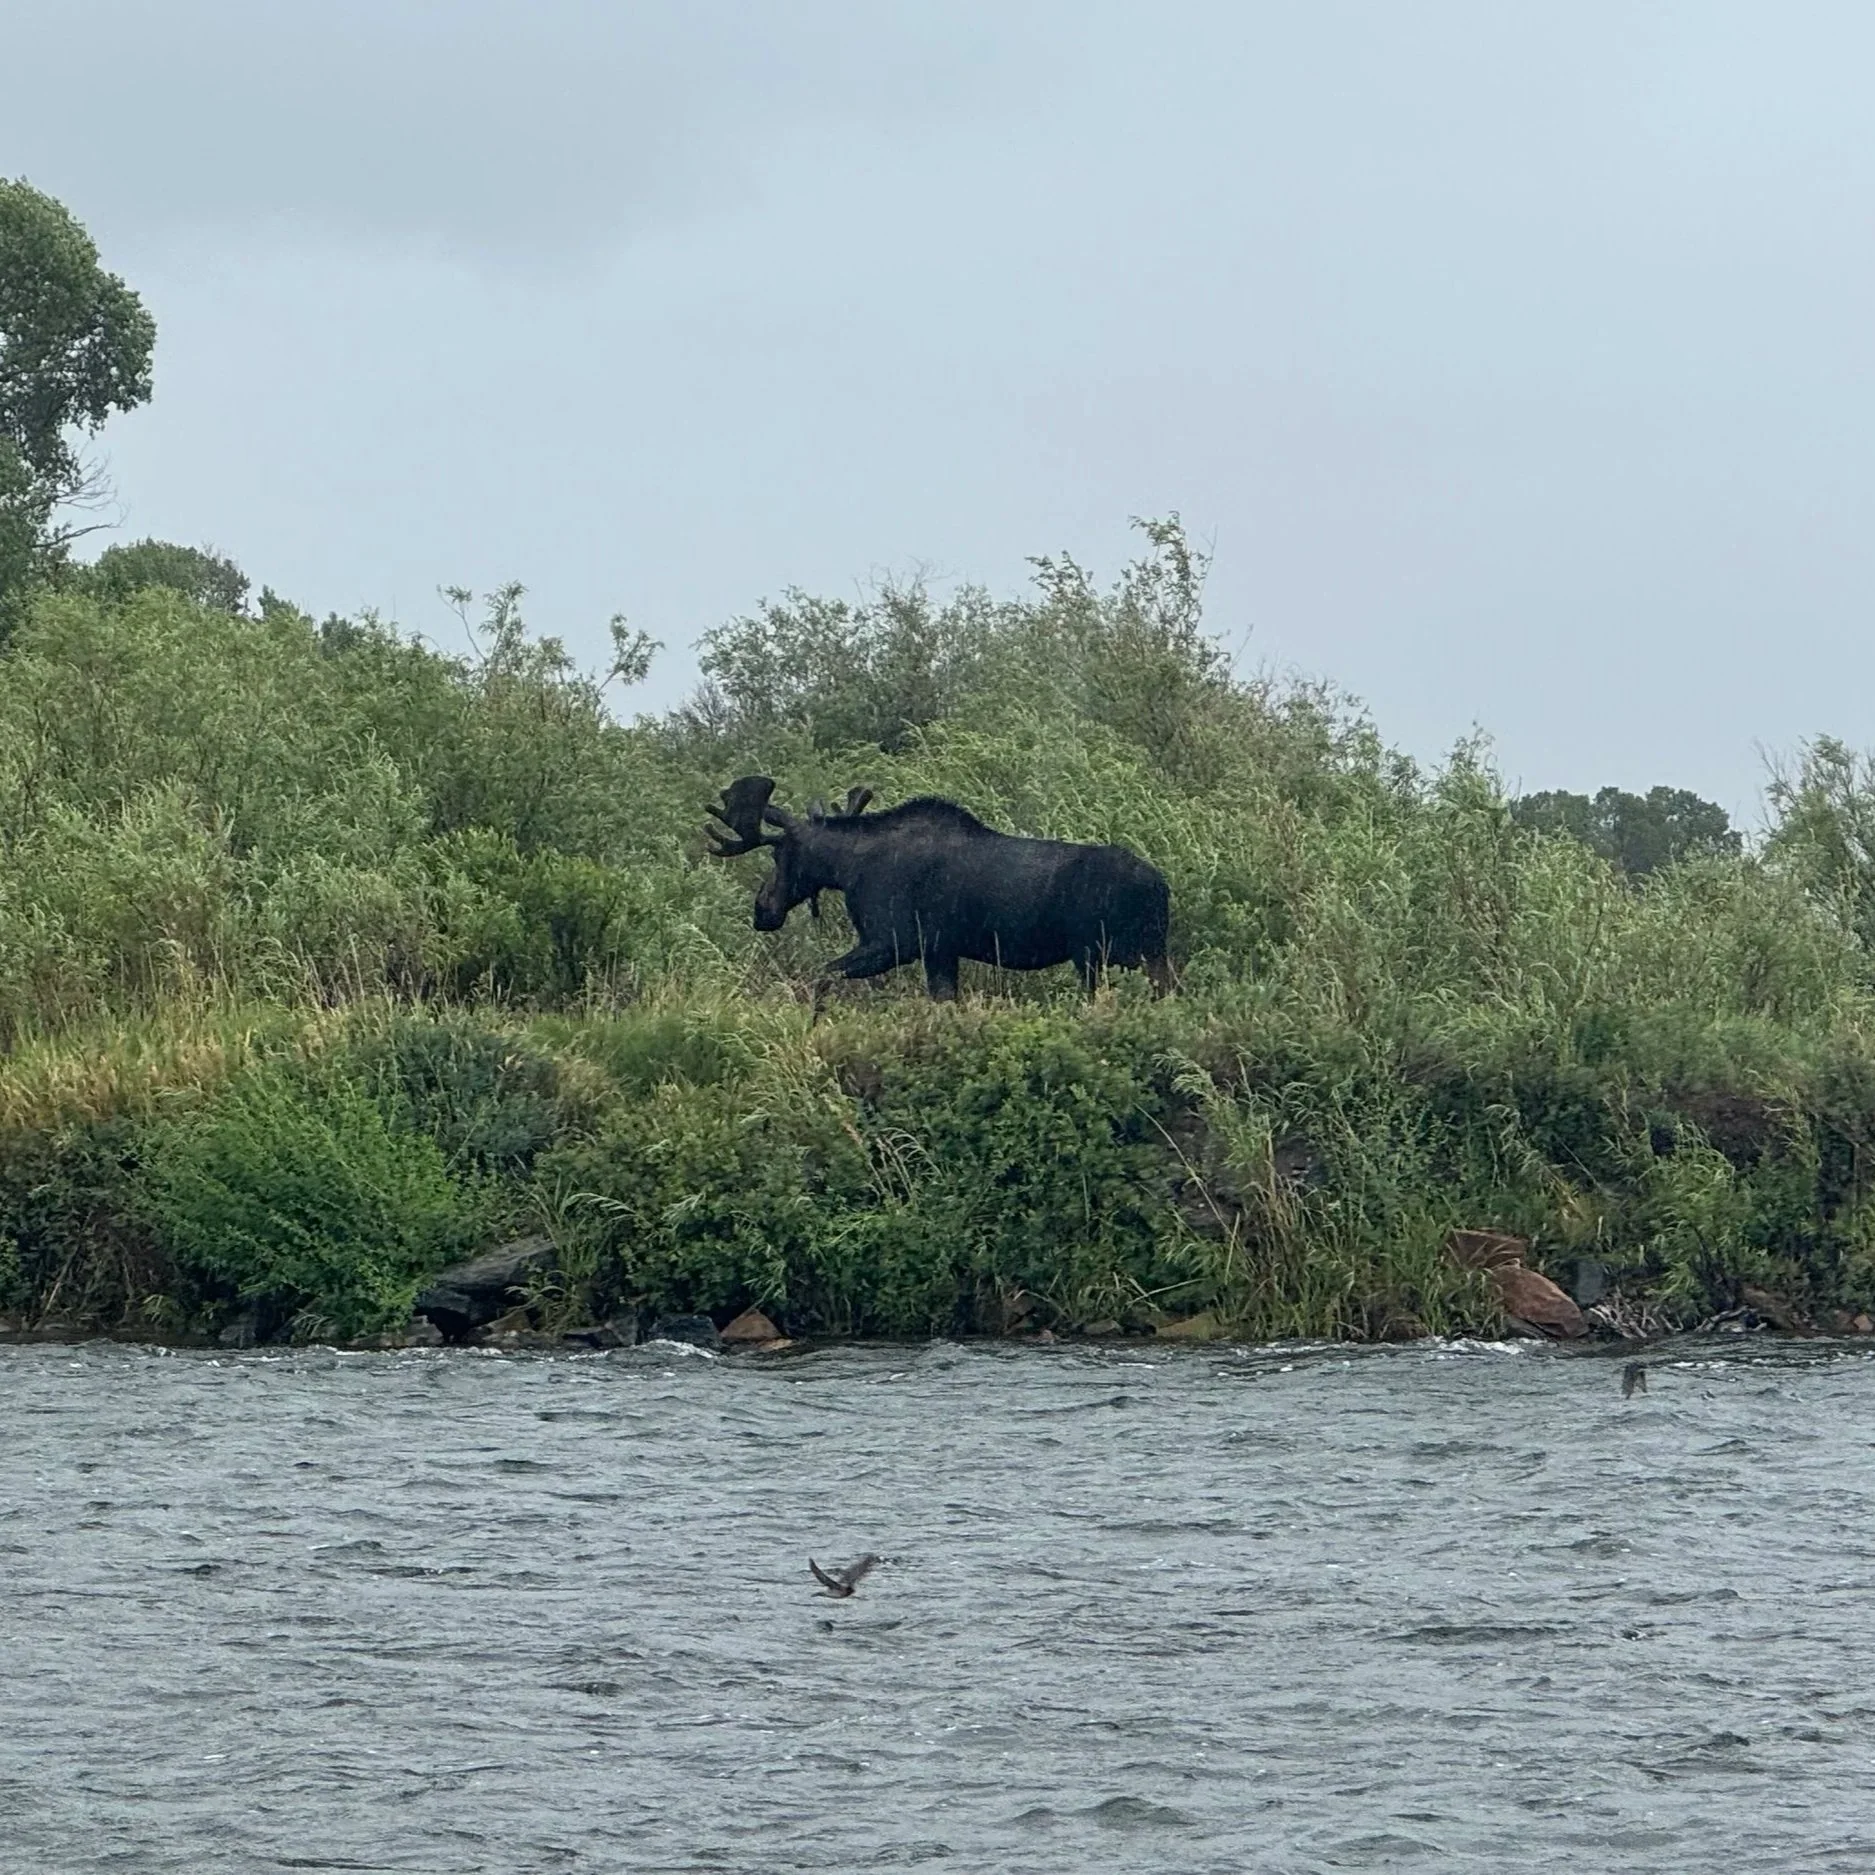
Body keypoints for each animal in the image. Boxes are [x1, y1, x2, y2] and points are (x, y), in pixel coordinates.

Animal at [705, 775, 1173, 1001]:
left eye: (778, 854)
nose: (762, 909)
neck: (847, 868)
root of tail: (1160, 887)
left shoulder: (892, 942)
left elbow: (820, 977)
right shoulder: (940, 951)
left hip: (1103, 953)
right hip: (1147, 952)